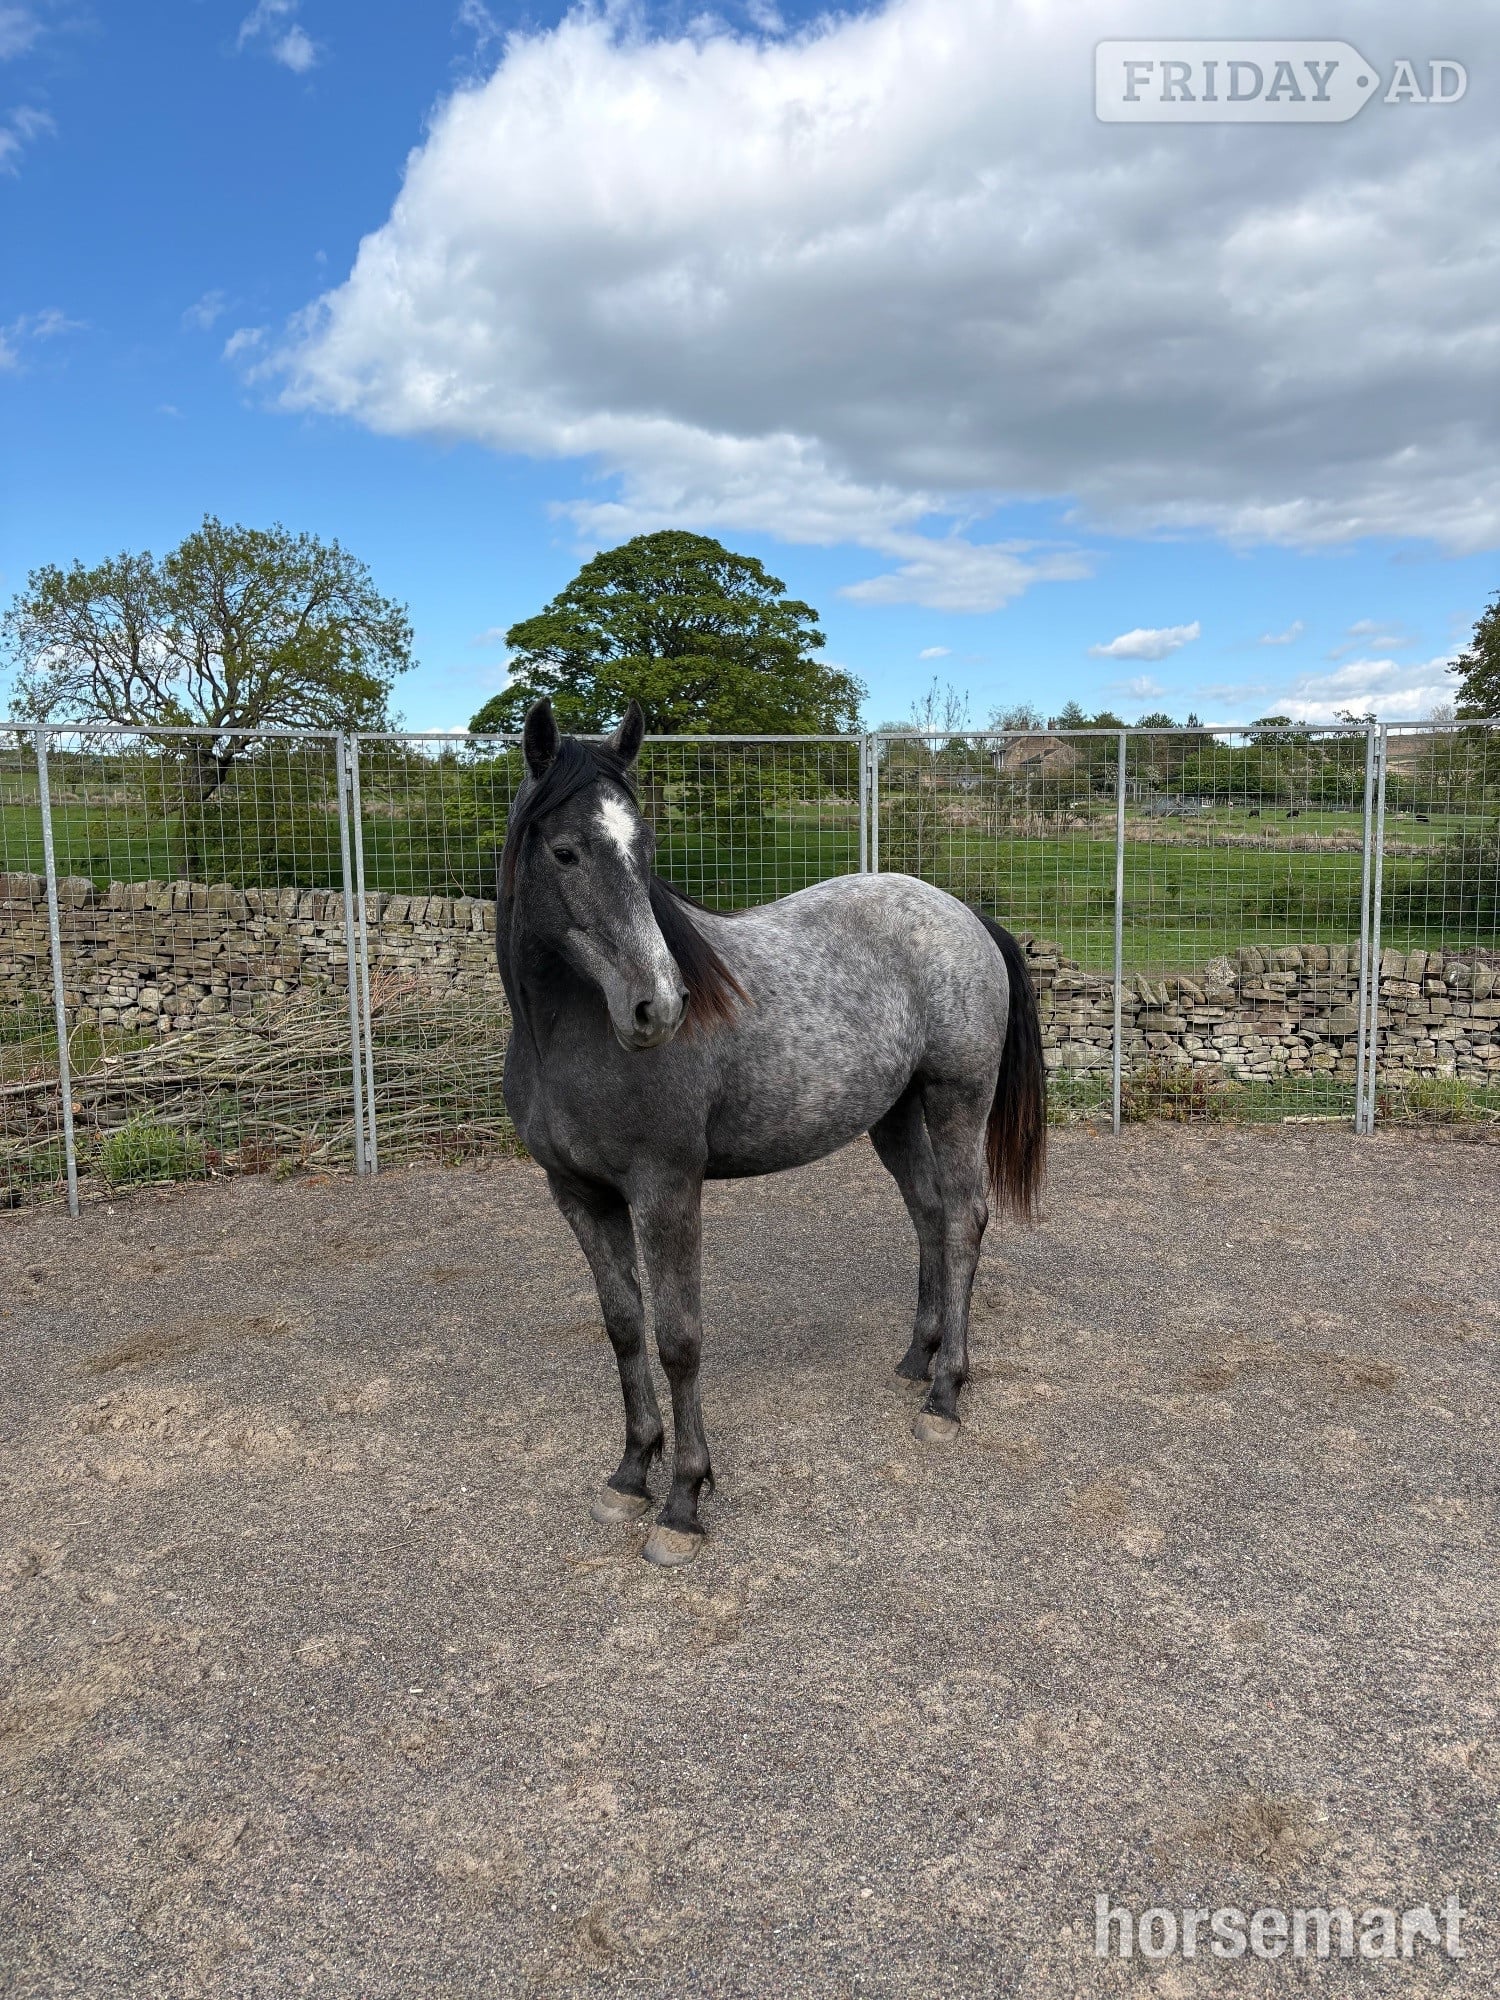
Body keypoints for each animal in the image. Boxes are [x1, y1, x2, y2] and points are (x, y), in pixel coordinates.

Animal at [496, 698, 1047, 1567]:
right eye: (565, 850)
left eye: (644, 849)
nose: (660, 1006)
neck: (569, 1035)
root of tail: (960, 912)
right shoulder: (579, 1196)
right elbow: (624, 1328)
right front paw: (630, 1474)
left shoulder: (666, 1191)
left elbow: (679, 1338)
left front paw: (683, 1502)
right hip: (893, 1115)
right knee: (928, 1214)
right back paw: (915, 1357)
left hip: (957, 1099)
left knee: (963, 1219)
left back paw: (945, 1394)